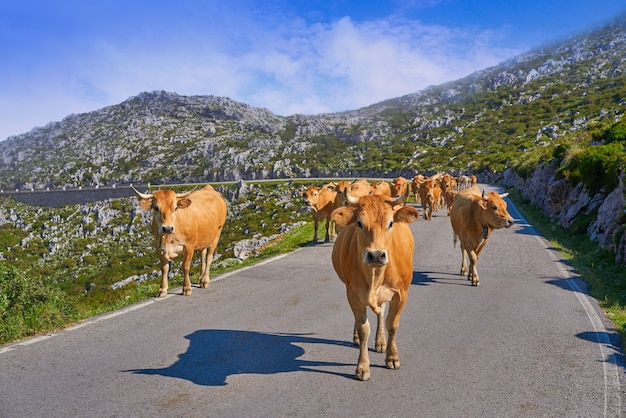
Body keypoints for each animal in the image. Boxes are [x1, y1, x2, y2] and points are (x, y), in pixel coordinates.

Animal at [330, 191, 416, 380]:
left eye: (390, 223)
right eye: (359, 223)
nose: (376, 255)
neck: (375, 276)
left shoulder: (402, 293)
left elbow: (392, 324)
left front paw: (392, 357)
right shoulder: (353, 293)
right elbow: (363, 328)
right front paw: (363, 367)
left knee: (381, 312)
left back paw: (381, 341)